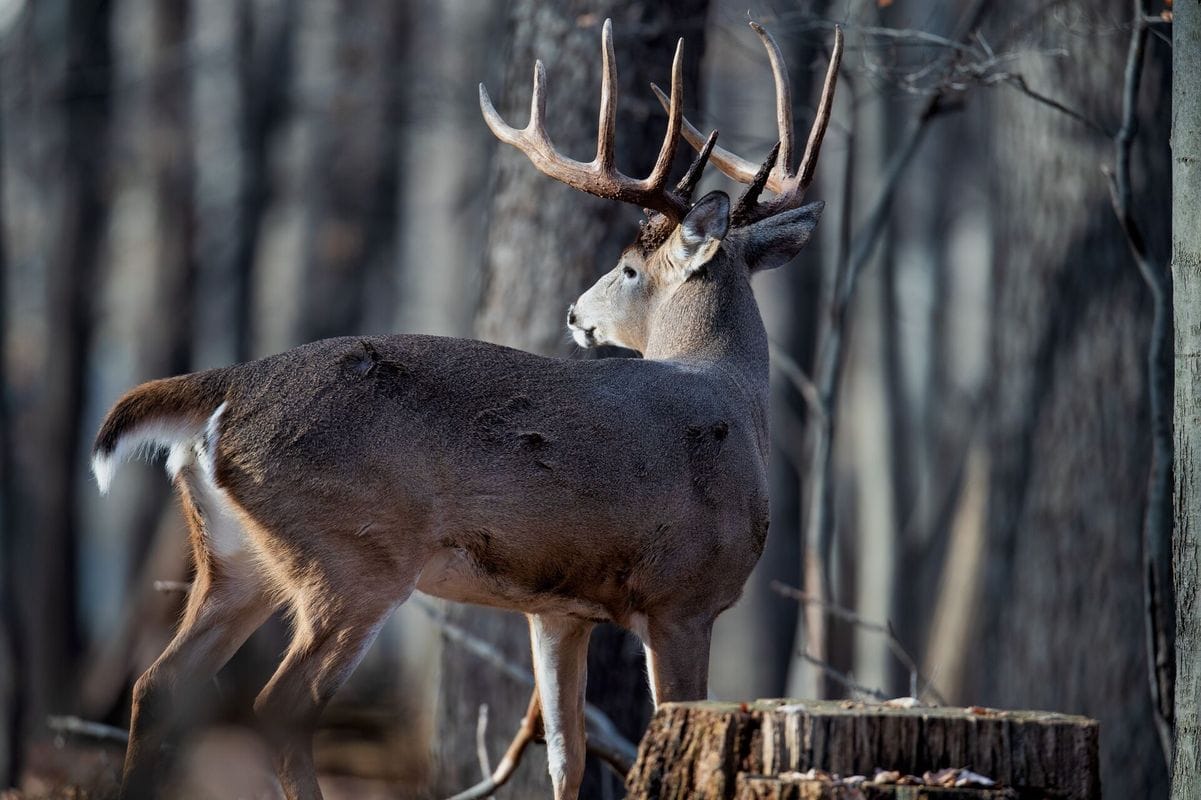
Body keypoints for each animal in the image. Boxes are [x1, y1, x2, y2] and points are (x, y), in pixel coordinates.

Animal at [90, 19, 841, 800]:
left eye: (629, 269)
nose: (575, 314)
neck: (731, 398)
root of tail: (230, 386)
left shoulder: (559, 609)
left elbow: (566, 753)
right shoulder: (682, 598)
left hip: (237, 560)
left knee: (157, 683)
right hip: (353, 555)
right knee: (279, 705)